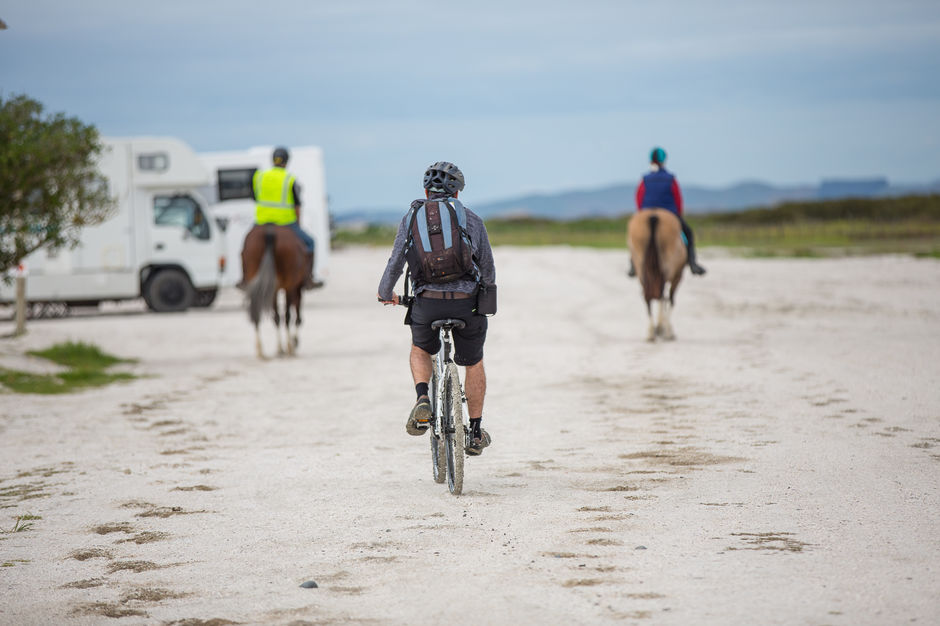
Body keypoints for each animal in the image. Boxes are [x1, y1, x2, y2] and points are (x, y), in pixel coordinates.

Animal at [241, 224, 306, 358]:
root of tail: (269, 231)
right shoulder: (294, 288)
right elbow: (295, 316)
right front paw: (294, 342)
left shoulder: (274, 290)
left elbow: (277, 317)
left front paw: (284, 346)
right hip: (288, 286)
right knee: (287, 316)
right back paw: (288, 347)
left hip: (257, 281)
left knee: (257, 313)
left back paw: (261, 350)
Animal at [628, 207, 688, 338]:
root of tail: (653, 215)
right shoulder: (677, 275)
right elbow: (670, 299)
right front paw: (667, 329)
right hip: (667, 267)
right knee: (662, 295)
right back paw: (660, 330)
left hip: (641, 267)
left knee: (648, 296)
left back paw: (651, 332)